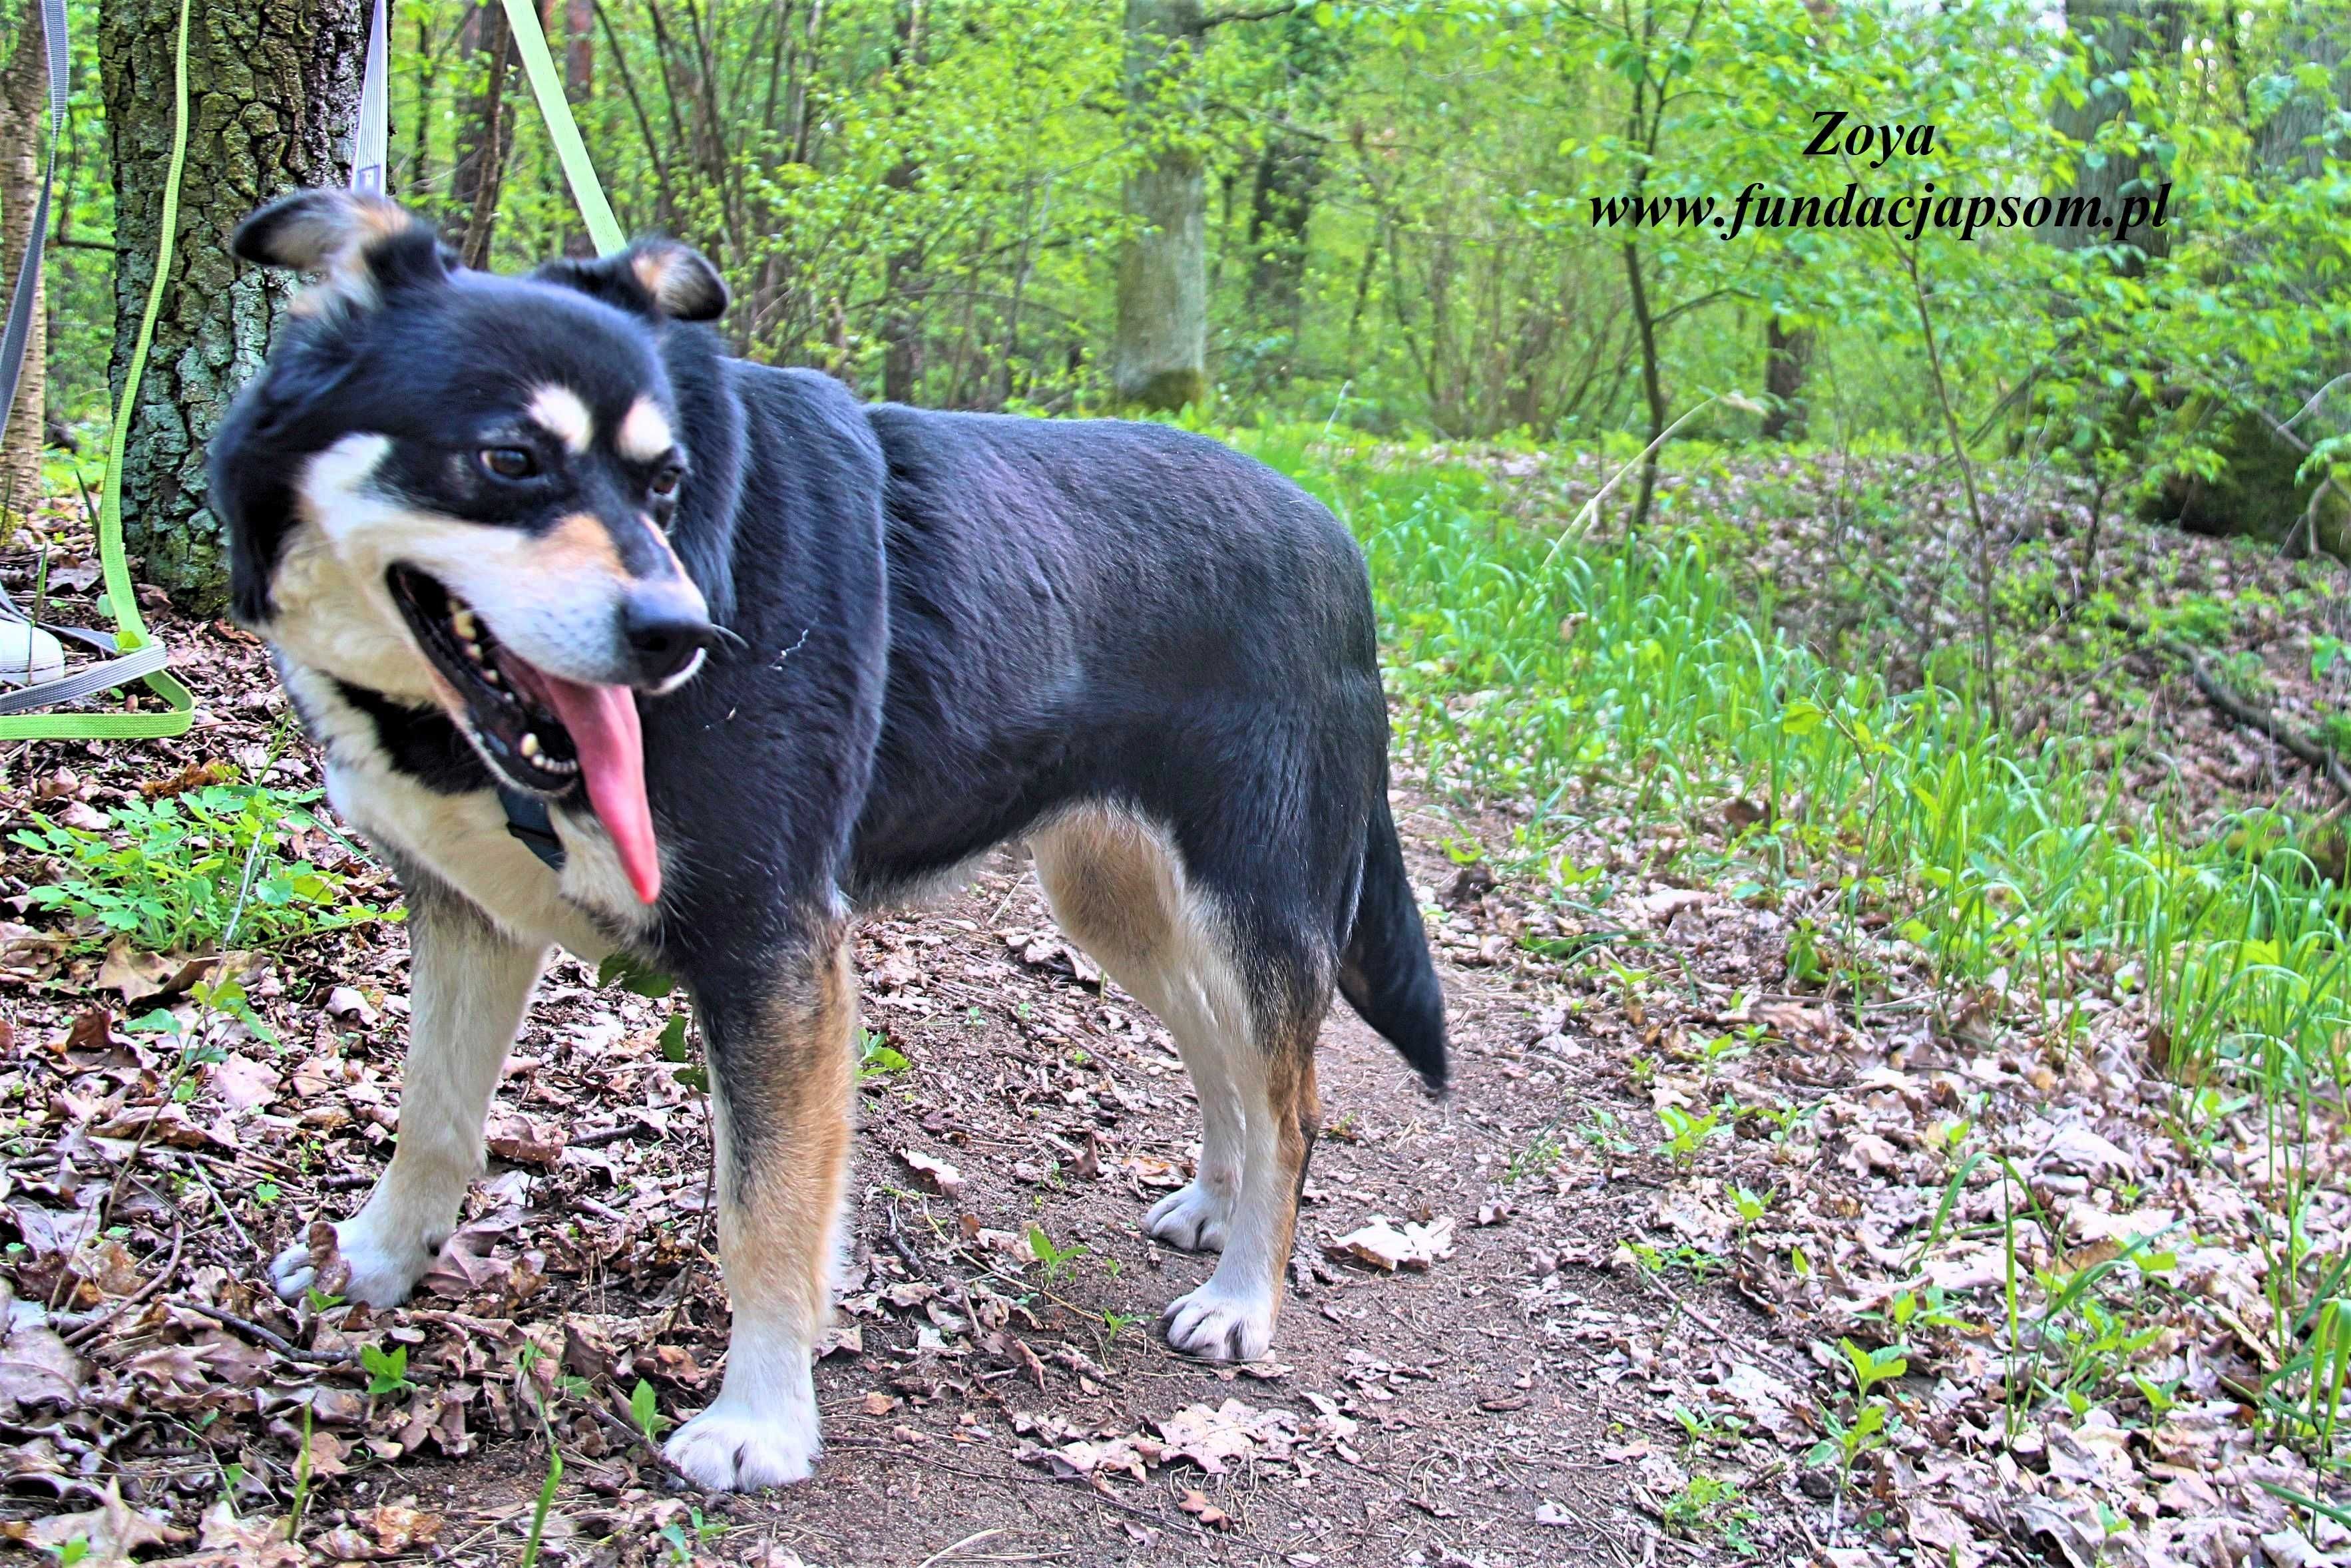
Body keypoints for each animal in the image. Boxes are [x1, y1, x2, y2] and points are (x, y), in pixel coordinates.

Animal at [206, 190, 1448, 1495]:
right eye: (509, 459)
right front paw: (373, 1266)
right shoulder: (468, 915)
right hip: (1119, 902)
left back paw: (1244, 1296)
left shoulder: (771, 954)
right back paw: (1214, 1206)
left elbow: (767, 1215)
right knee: (1223, 1061)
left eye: (665, 480)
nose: (683, 635)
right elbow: (433, 1117)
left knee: (1292, 1105)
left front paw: (760, 1420)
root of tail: (1337, 538)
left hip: (1252, 901)